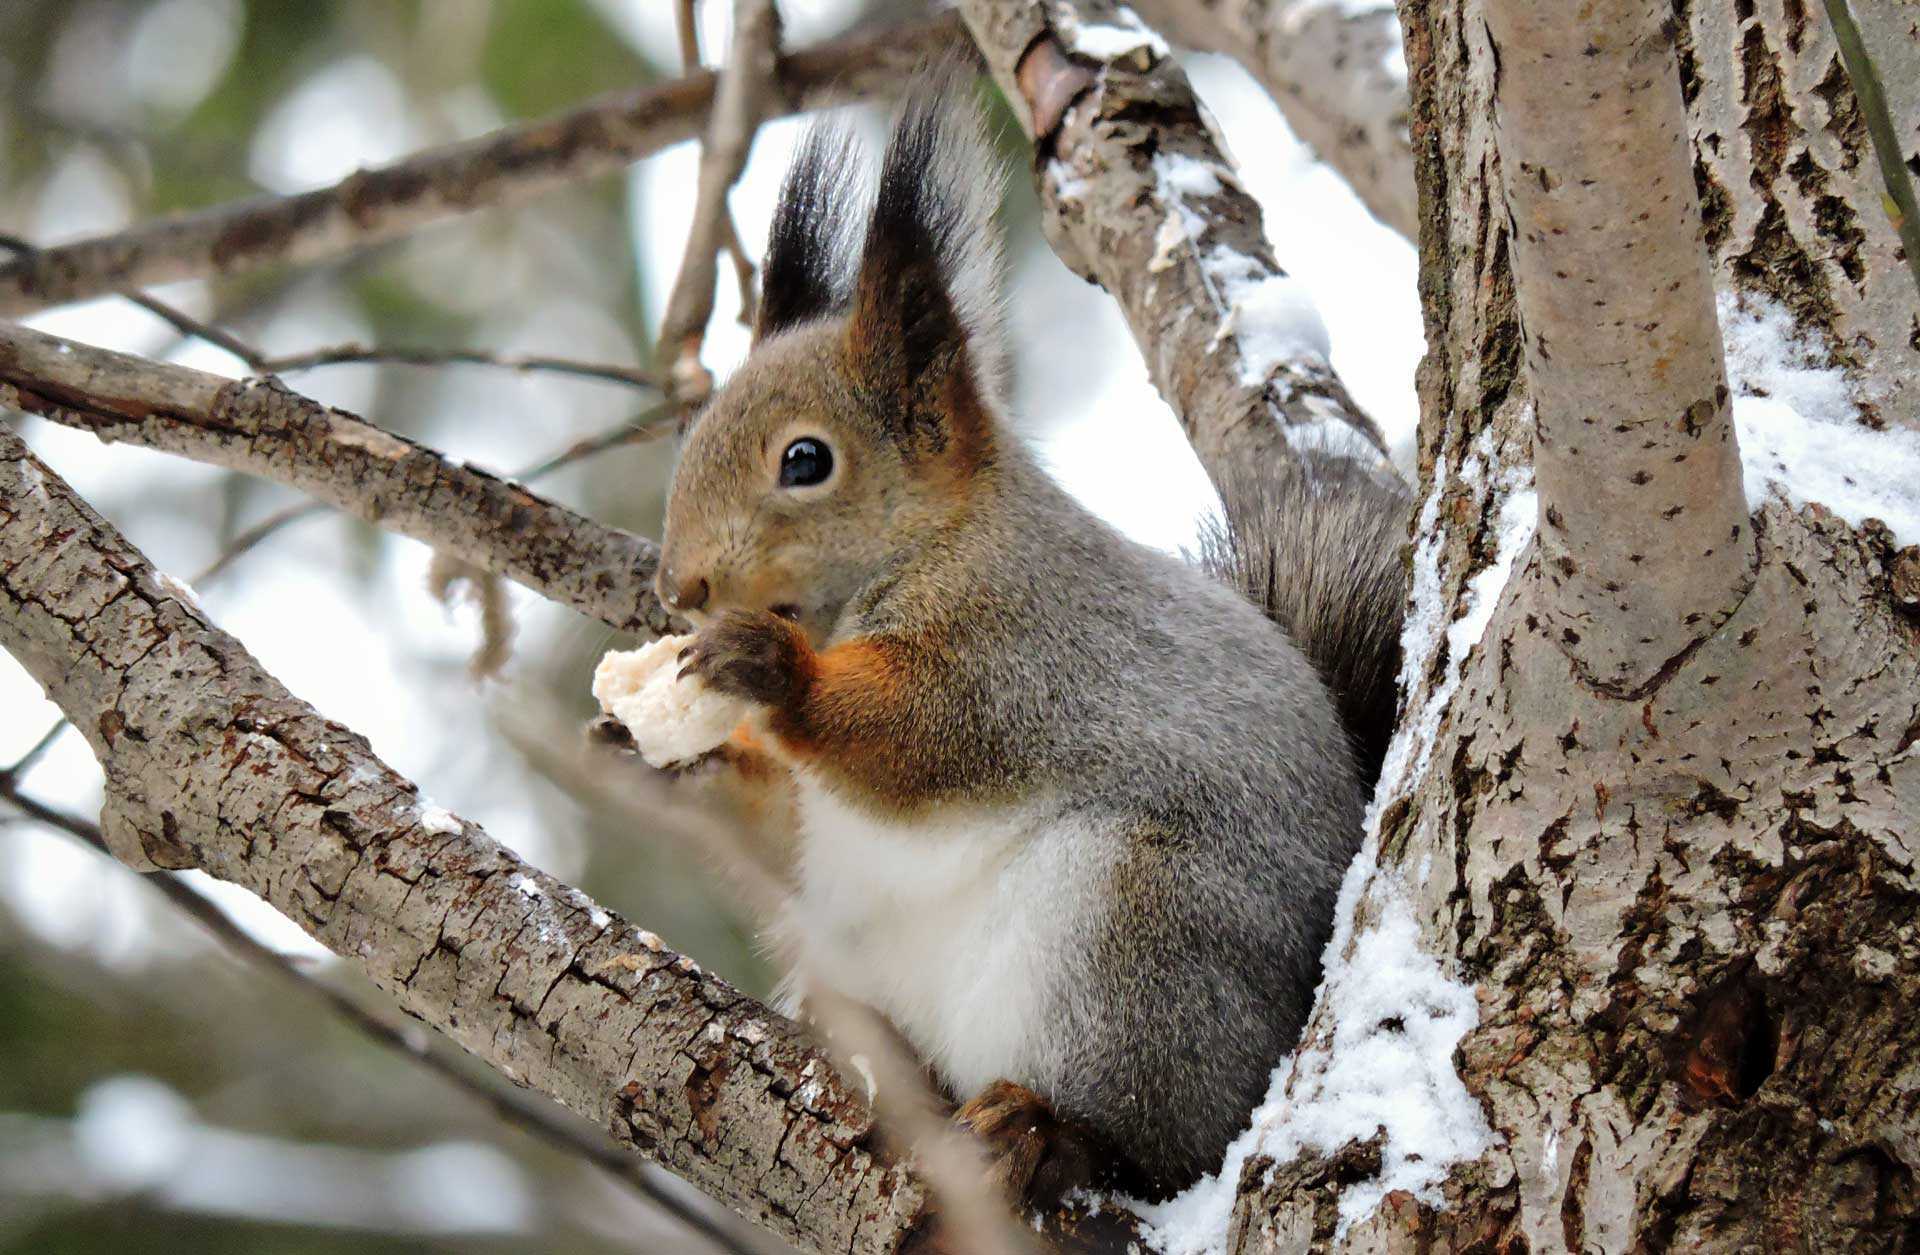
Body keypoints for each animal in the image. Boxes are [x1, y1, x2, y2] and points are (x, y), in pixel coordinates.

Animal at [652, 81, 1405, 1212]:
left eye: (805, 460)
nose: (680, 586)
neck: (937, 543)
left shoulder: (1025, 649)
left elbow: (918, 734)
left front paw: (772, 670)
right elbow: (787, 819)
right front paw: (687, 766)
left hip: (1136, 945)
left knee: (1148, 1140)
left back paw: (1049, 1131)